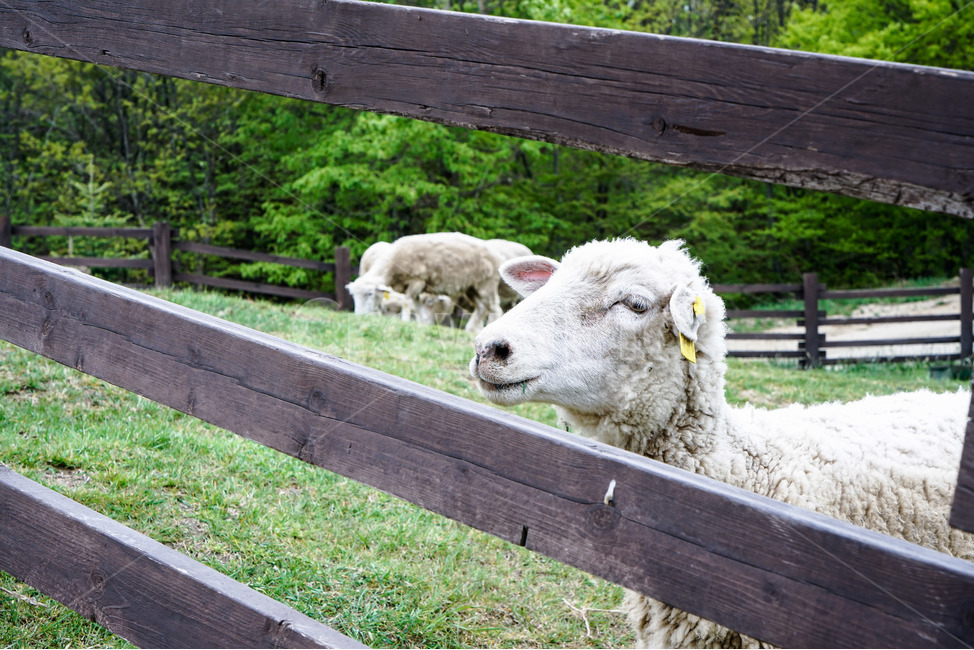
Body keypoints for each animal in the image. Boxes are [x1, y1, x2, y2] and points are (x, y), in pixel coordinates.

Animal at [348, 232, 503, 333]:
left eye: (369, 293)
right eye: (353, 296)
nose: (358, 316)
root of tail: (497, 255)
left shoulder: (417, 281)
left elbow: (407, 303)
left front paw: (405, 321)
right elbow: (416, 307)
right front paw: (421, 323)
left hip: (487, 285)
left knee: (495, 309)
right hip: (472, 287)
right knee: (482, 308)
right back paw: (470, 329)